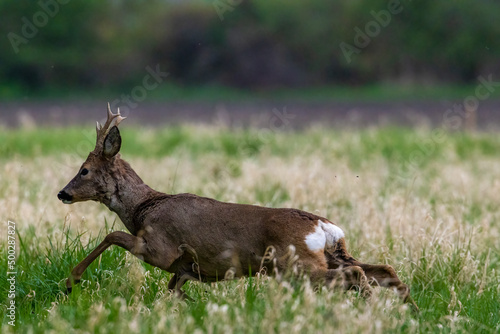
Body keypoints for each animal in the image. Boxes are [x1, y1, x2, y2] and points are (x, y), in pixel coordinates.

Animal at [57, 105, 418, 312]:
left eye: (84, 170)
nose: (63, 193)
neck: (143, 208)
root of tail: (324, 226)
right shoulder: (183, 269)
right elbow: (173, 293)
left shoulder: (160, 248)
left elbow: (112, 235)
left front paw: (72, 280)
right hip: (331, 254)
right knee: (384, 270)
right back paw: (408, 313)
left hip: (295, 263)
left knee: (357, 275)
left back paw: (376, 313)